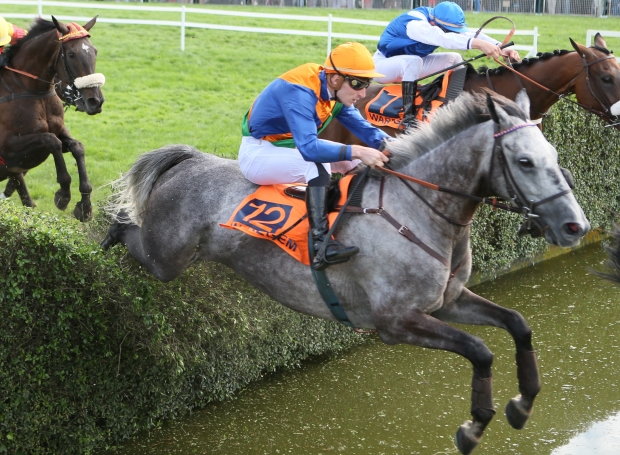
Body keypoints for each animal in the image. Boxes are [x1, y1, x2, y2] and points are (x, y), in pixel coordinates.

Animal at [0, 18, 104, 223]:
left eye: (94, 51)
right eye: (71, 54)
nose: (95, 101)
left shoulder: (58, 131)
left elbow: (76, 147)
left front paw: (85, 206)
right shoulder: (8, 149)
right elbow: (51, 140)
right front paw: (63, 194)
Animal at [99, 91, 588, 454]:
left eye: (552, 152)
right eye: (524, 161)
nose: (574, 226)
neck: (419, 209)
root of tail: (190, 160)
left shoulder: (447, 302)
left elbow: (517, 324)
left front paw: (523, 401)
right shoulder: (396, 322)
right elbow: (480, 350)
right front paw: (475, 426)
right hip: (166, 259)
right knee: (133, 236)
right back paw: (109, 228)